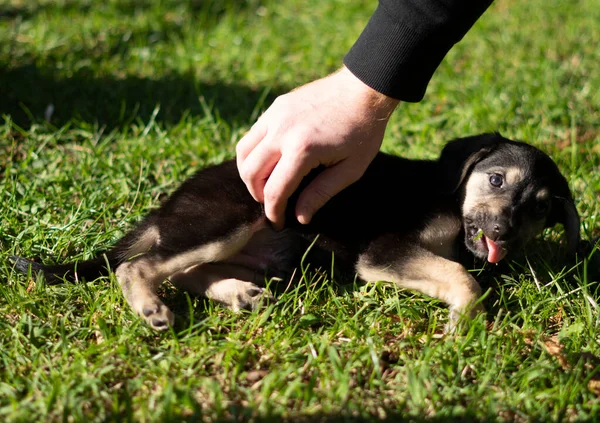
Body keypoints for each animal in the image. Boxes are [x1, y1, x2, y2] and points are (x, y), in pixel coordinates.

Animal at [9, 134, 580, 332]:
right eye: (496, 179)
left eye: (539, 210)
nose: (503, 230)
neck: (451, 193)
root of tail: (169, 203)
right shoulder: (383, 251)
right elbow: (463, 276)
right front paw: (464, 323)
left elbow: (465, 270)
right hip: (235, 216)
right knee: (138, 265)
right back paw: (151, 307)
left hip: (274, 253)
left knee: (187, 269)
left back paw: (237, 294)